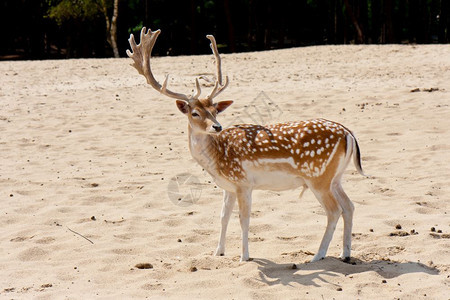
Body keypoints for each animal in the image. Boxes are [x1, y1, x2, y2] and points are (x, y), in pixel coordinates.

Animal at [125, 28, 366, 262]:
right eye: (195, 113)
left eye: (214, 111)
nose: (217, 126)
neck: (216, 159)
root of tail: (349, 134)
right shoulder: (229, 187)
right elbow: (223, 217)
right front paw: (218, 252)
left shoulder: (243, 182)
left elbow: (244, 219)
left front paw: (245, 257)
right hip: (335, 177)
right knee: (349, 206)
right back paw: (345, 253)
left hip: (318, 177)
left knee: (334, 210)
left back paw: (318, 255)